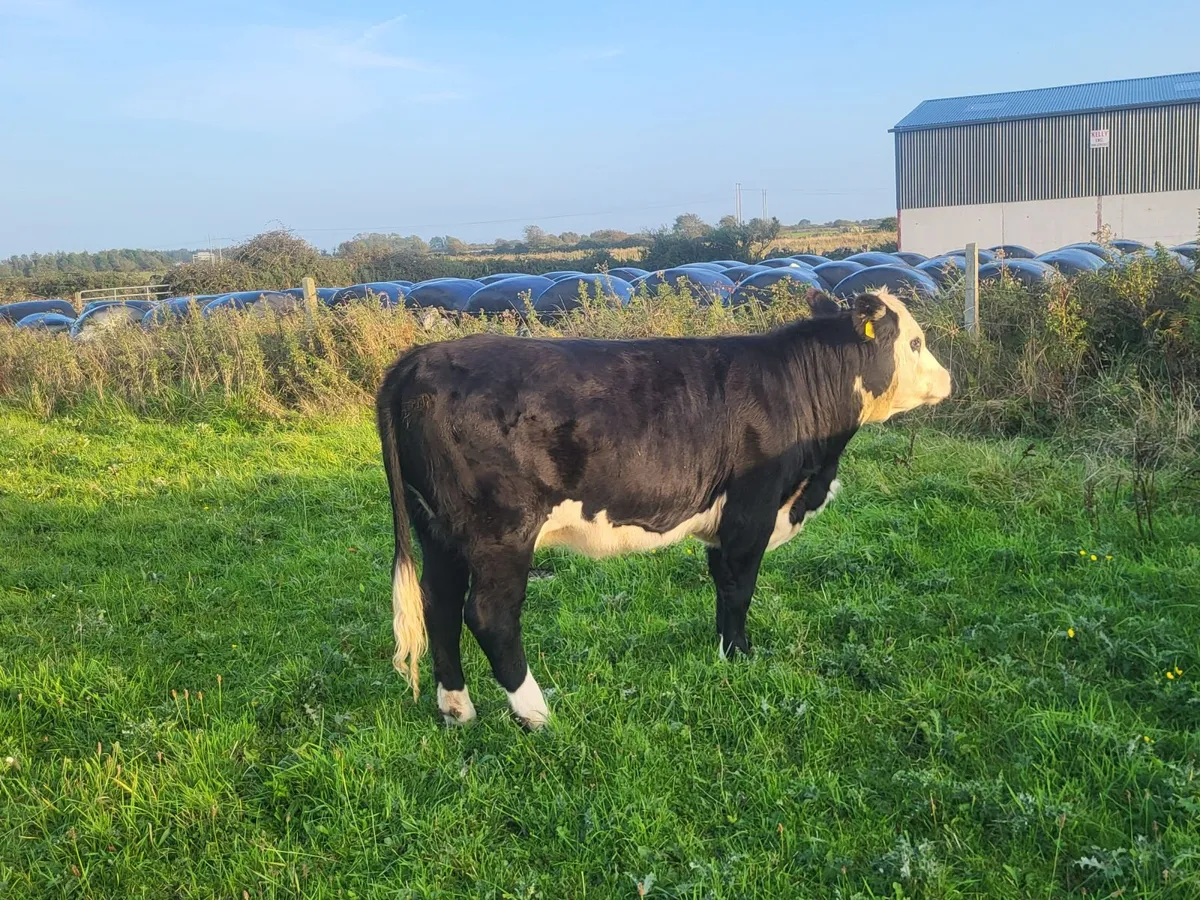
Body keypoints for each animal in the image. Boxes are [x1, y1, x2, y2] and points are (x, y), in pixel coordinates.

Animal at [375, 288, 951, 728]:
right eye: (915, 341)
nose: (949, 380)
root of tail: (418, 358)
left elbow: (722, 585)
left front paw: (724, 653)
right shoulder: (752, 509)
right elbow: (739, 587)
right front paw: (741, 657)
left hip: (439, 531)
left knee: (439, 603)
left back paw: (458, 709)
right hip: (501, 532)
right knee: (488, 614)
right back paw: (536, 713)